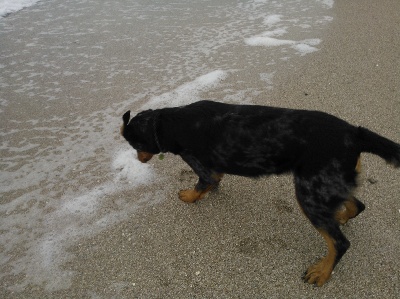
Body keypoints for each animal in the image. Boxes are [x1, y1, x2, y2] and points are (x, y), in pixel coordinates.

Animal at [121, 100, 400, 286]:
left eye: (134, 145)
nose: (139, 160)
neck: (169, 123)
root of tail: (354, 132)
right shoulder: (214, 167)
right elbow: (215, 179)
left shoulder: (199, 165)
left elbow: (202, 184)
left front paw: (190, 196)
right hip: (326, 185)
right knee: (356, 205)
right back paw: (341, 217)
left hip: (309, 193)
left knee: (340, 242)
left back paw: (322, 272)